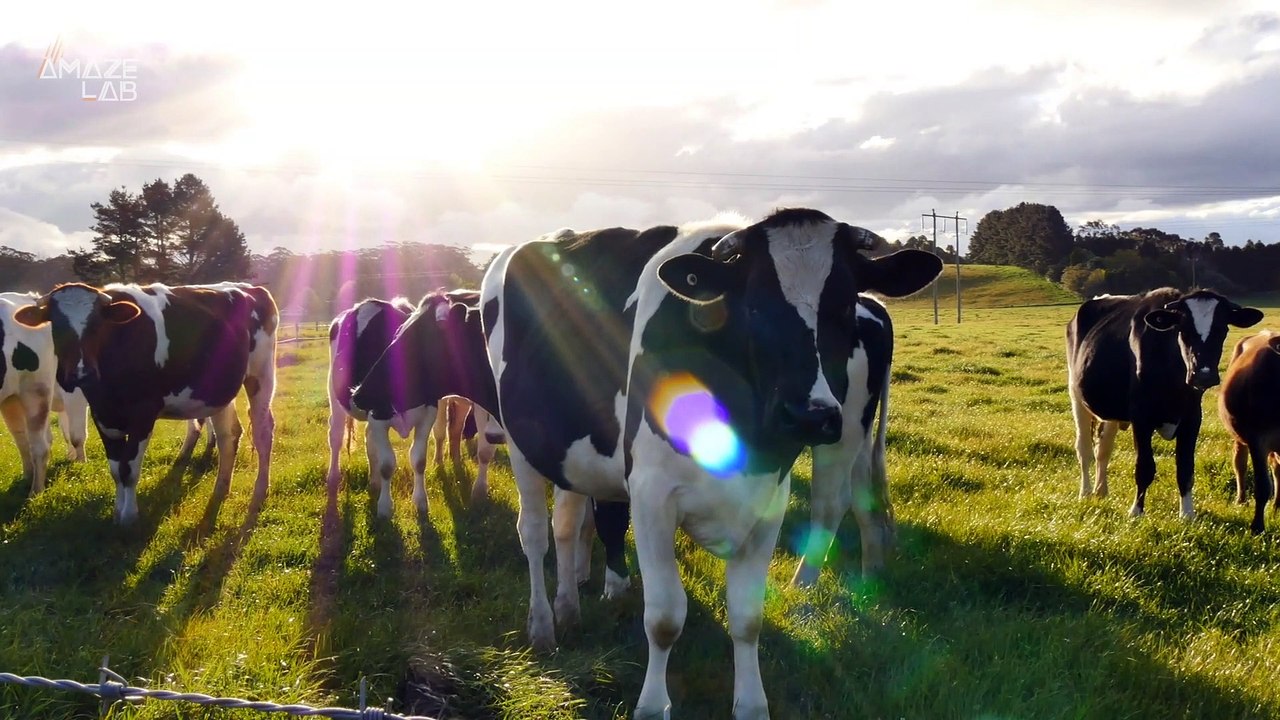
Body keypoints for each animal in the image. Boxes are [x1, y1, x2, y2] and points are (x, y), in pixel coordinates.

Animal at [13, 281, 278, 524]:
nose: (81, 374)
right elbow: (116, 469)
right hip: (218, 391)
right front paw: (118, 512)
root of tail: (249, 287)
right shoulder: (102, 416)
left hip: (261, 375)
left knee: (263, 432)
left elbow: (129, 469)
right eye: (57, 326)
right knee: (228, 436)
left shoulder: (143, 414)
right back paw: (221, 488)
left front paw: (129, 517)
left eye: (97, 326)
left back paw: (260, 490)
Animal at [482, 209, 942, 719]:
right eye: (754, 307)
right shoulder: (651, 495)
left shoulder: (769, 498)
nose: (809, 415)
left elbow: (747, 617)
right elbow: (665, 617)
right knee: (534, 532)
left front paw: (751, 705)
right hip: (521, 440)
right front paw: (651, 706)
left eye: (843, 305)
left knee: (565, 523)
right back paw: (542, 625)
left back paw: (568, 608)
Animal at [1066, 288, 1262, 520]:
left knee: (1103, 448)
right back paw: (1086, 492)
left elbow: (1185, 468)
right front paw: (1136, 512)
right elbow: (1144, 466)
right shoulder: (1141, 418)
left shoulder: (1192, 418)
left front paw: (1187, 514)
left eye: (1222, 328)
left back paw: (1101, 491)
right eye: (1183, 330)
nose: (1203, 375)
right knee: (1084, 449)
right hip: (1076, 395)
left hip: (1110, 412)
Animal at [1218, 329, 1280, 534]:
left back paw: (1276, 507)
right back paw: (1241, 500)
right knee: (1240, 464)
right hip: (1239, 436)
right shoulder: (1257, 440)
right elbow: (1262, 486)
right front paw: (1257, 527)